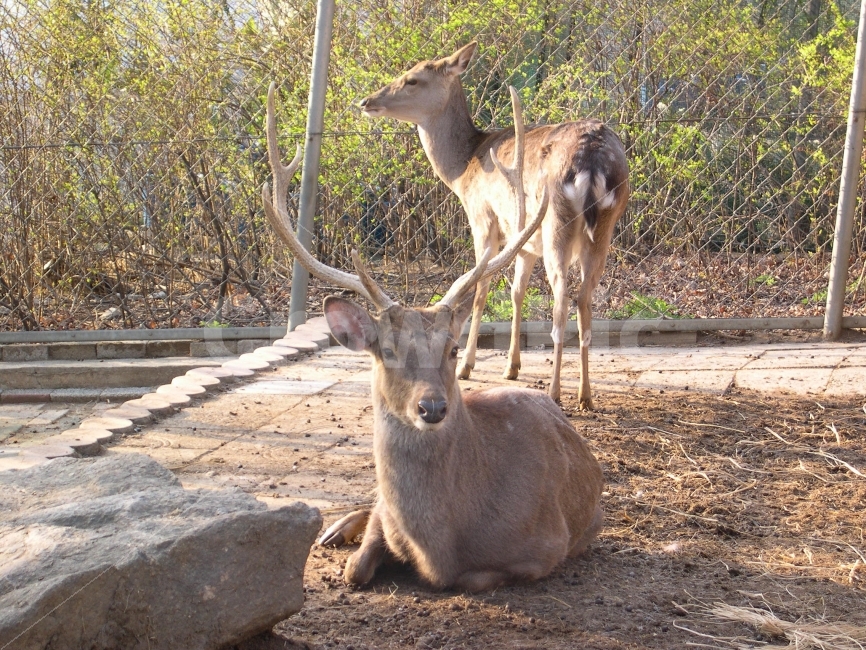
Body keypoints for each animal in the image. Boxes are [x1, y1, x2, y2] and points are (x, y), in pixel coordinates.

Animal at [262, 83, 604, 592]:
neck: (443, 542)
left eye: (453, 348)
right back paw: (335, 527)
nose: (433, 407)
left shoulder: (546, 548)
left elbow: (473, 577)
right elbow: (356, 567)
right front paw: (352, 540)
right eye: (385, 351)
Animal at [358, 42, 630, 411]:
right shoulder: (524, 241)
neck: (462, 171)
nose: (367, 101)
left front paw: (467, 366)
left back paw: (555, 391)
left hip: (556, 222)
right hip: (604, 226)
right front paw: (511, 367)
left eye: (412, 79)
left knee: (562, 297)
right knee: (585, 298)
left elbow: (480, 290)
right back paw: (585, 395)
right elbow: (516, 293)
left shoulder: (483, 218)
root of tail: (593, 161)